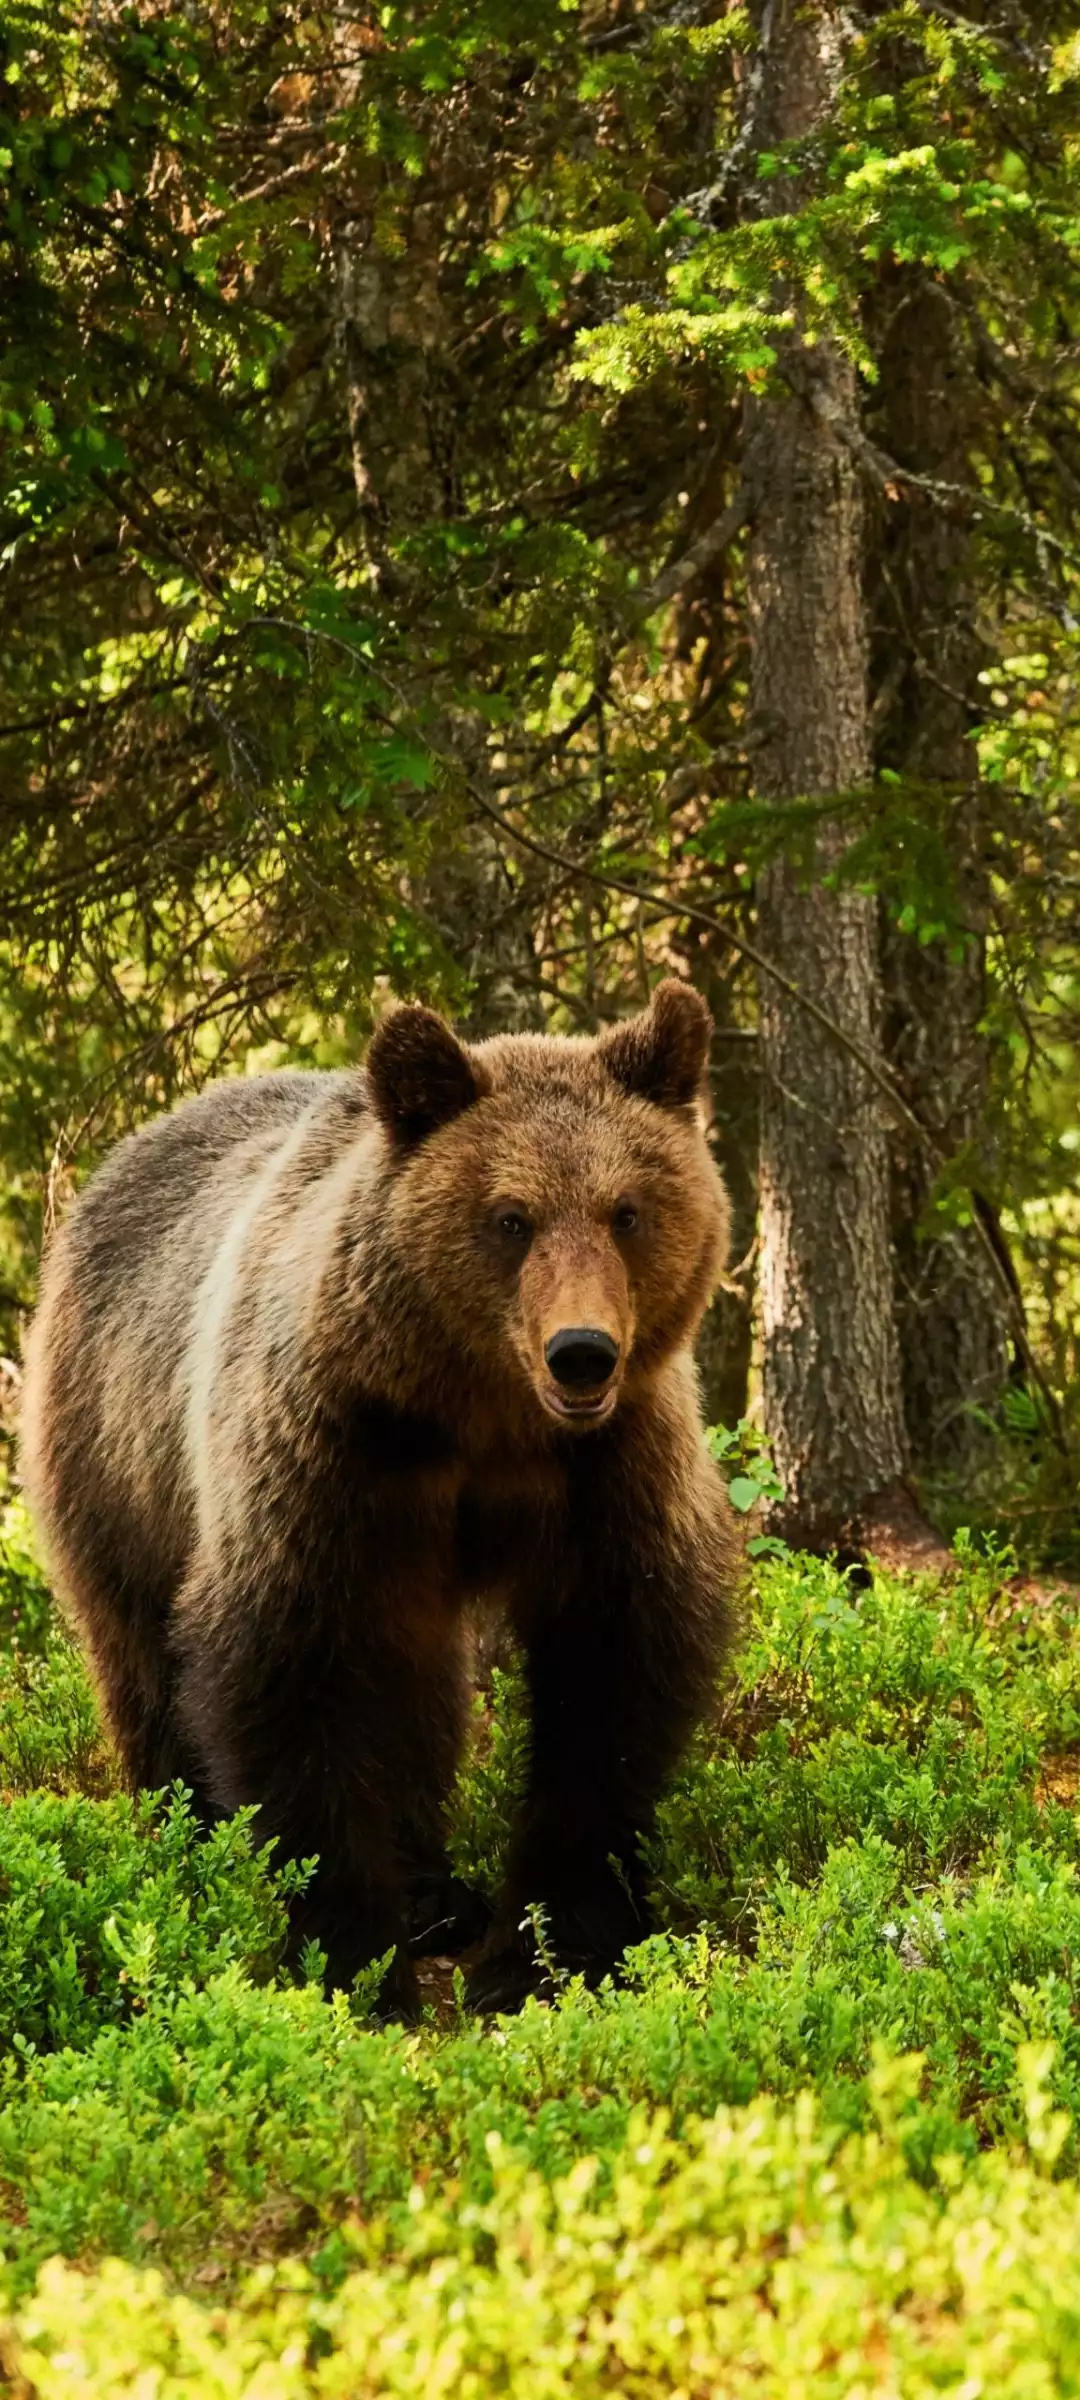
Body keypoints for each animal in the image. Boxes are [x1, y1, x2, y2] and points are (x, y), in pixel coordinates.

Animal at [21, 974, 739, 2006]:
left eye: (626, 1210)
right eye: (511, 1217)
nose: (582, 1352)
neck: (483, 1414)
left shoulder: (609, 1468)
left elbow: (611, 1673)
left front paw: (550, 1945)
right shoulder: (335, 1452)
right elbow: (292, 1667)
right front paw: (355, 1954)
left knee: (422, 1681)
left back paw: (441, 1891)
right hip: (114, 1452)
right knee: (142, 1652)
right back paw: (192, 1844)